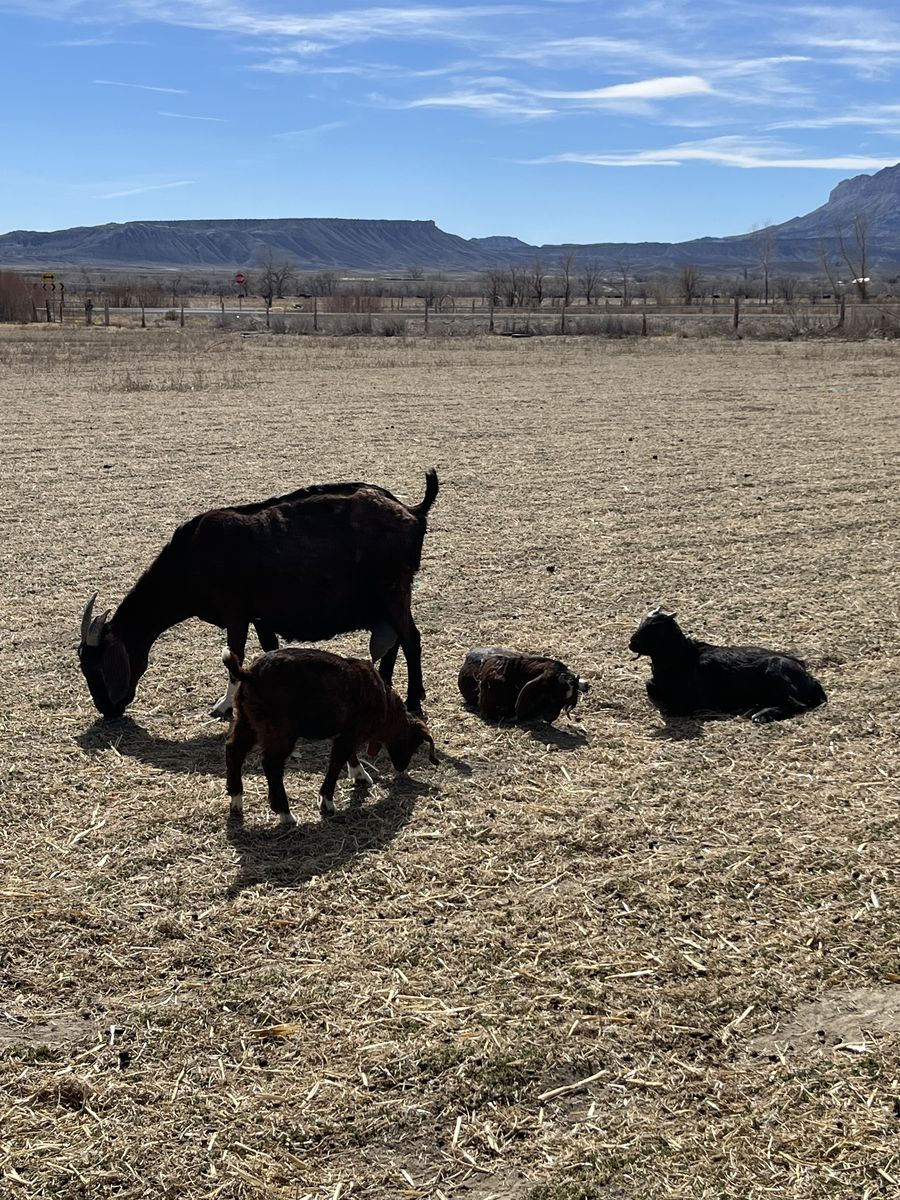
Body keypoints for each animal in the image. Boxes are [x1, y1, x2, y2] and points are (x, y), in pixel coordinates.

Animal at [78, 471, 438, 720]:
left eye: (95, 667)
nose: (108, 711)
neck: (191, 557)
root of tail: (412, 510)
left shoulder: (235, 612)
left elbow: (234, 655)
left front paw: (223, 706)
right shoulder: (260, 615)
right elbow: (269, 650)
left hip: (393, 588)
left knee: (411, 639)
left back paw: (413, 701)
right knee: (393, 641)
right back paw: (385, 687)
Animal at [222, 647, 439, 823]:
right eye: (415, 745)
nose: (401, 768)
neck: (385, 704)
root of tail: (249, 674)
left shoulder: (347, 733)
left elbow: (350, 755)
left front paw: (360, 775)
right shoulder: (350, 734)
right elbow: (337, 762)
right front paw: (326, 801)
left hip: (246, 721)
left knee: (234, 750)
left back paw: (236, 799)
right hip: (280, 730)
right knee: (271, 764)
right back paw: (285, 813)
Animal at [629, 608, 827, 723]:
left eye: (654, 629)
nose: (631, 643)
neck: (685, 657)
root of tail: (808, 676)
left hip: (777, 673)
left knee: (796, 704)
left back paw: (761, 715)